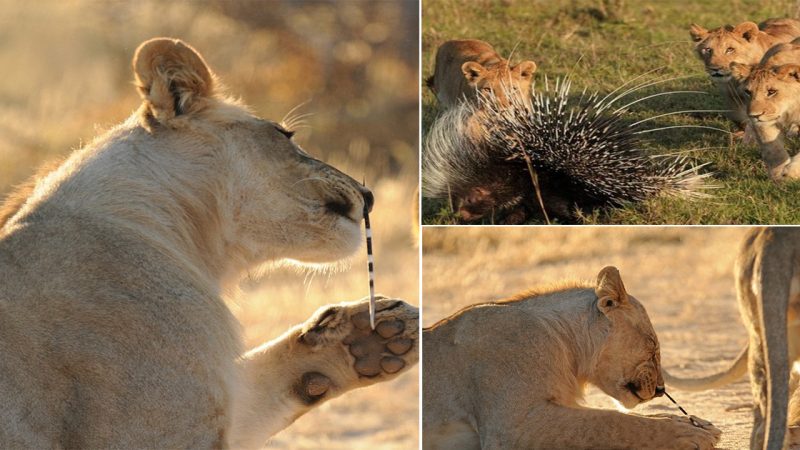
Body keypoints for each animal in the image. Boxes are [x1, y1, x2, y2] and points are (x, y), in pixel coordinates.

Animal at [422, 266, 720, 448]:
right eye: (653, 346)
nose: (660, 389)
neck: (565, 347)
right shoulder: (512, 427)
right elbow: (614, 422)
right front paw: (690, 432)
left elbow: (626, 418)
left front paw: (692, 422)